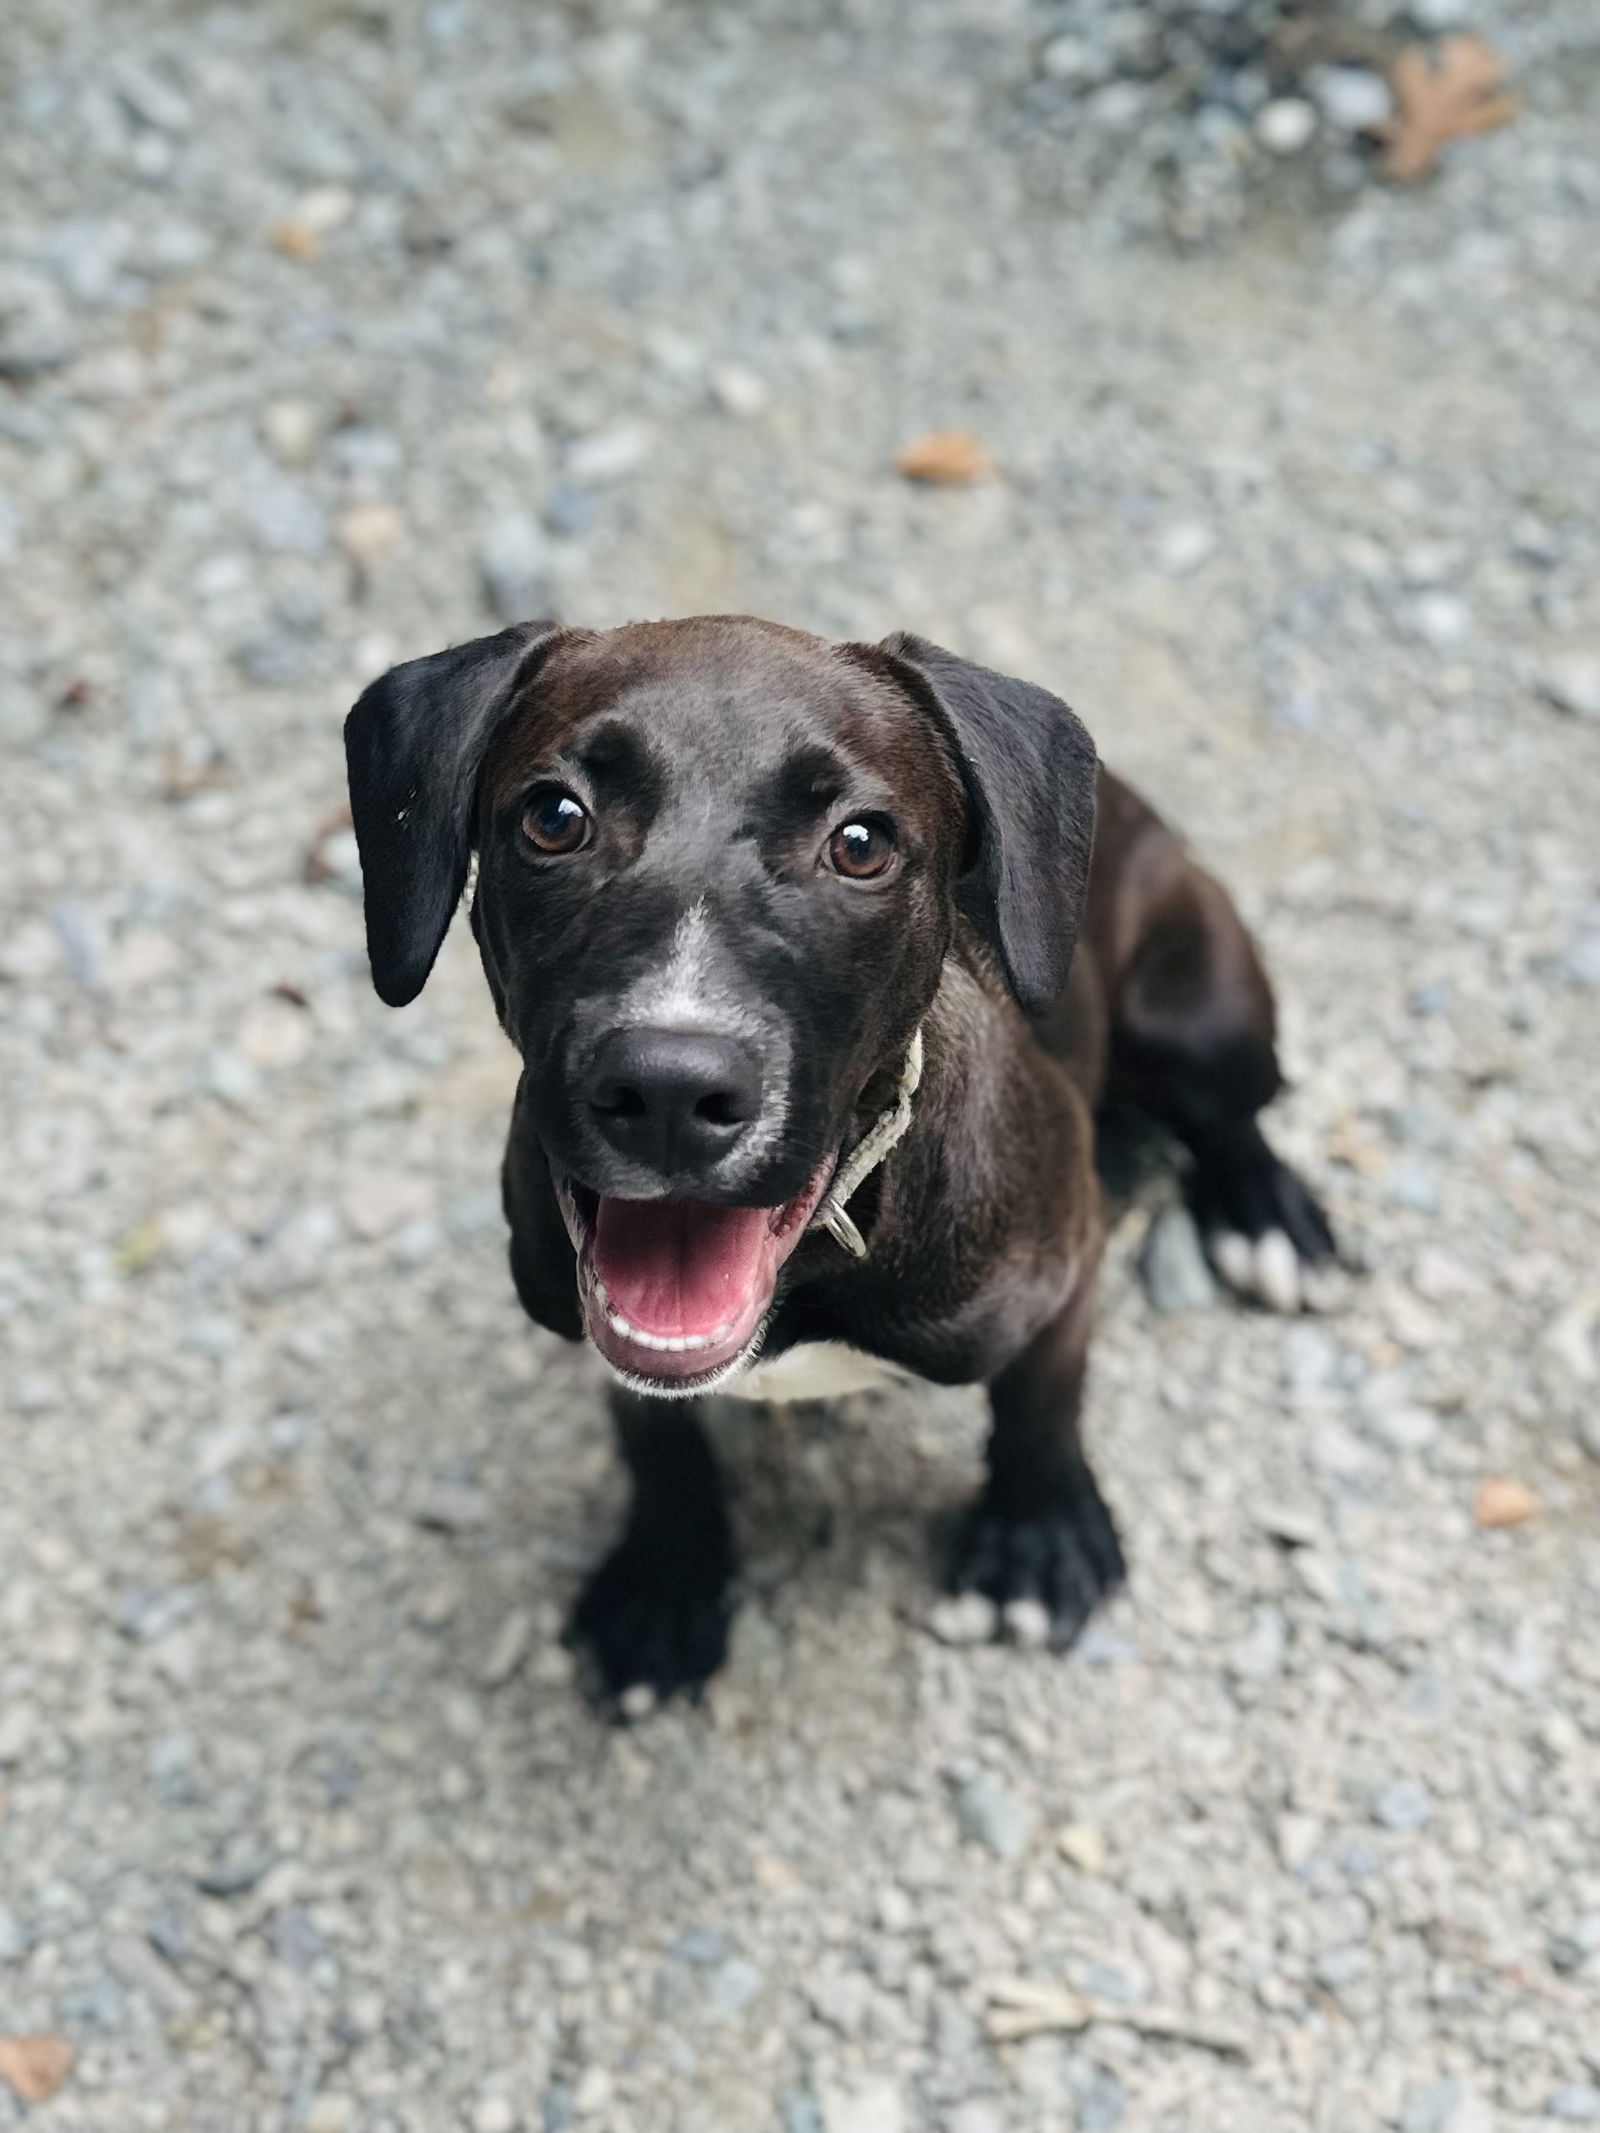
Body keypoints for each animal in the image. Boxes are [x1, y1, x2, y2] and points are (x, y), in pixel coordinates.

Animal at [349, 610, 1339, 1706]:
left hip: (1199, 1012)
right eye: (554, 818)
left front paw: (1034, 1536)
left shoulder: (1064, 1262)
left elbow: (1043, 1402)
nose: (666, 1091)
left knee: (1229, 1116)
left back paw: (1267, 1218)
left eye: (860, 843)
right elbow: (657, 1440)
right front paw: (665, 1586)